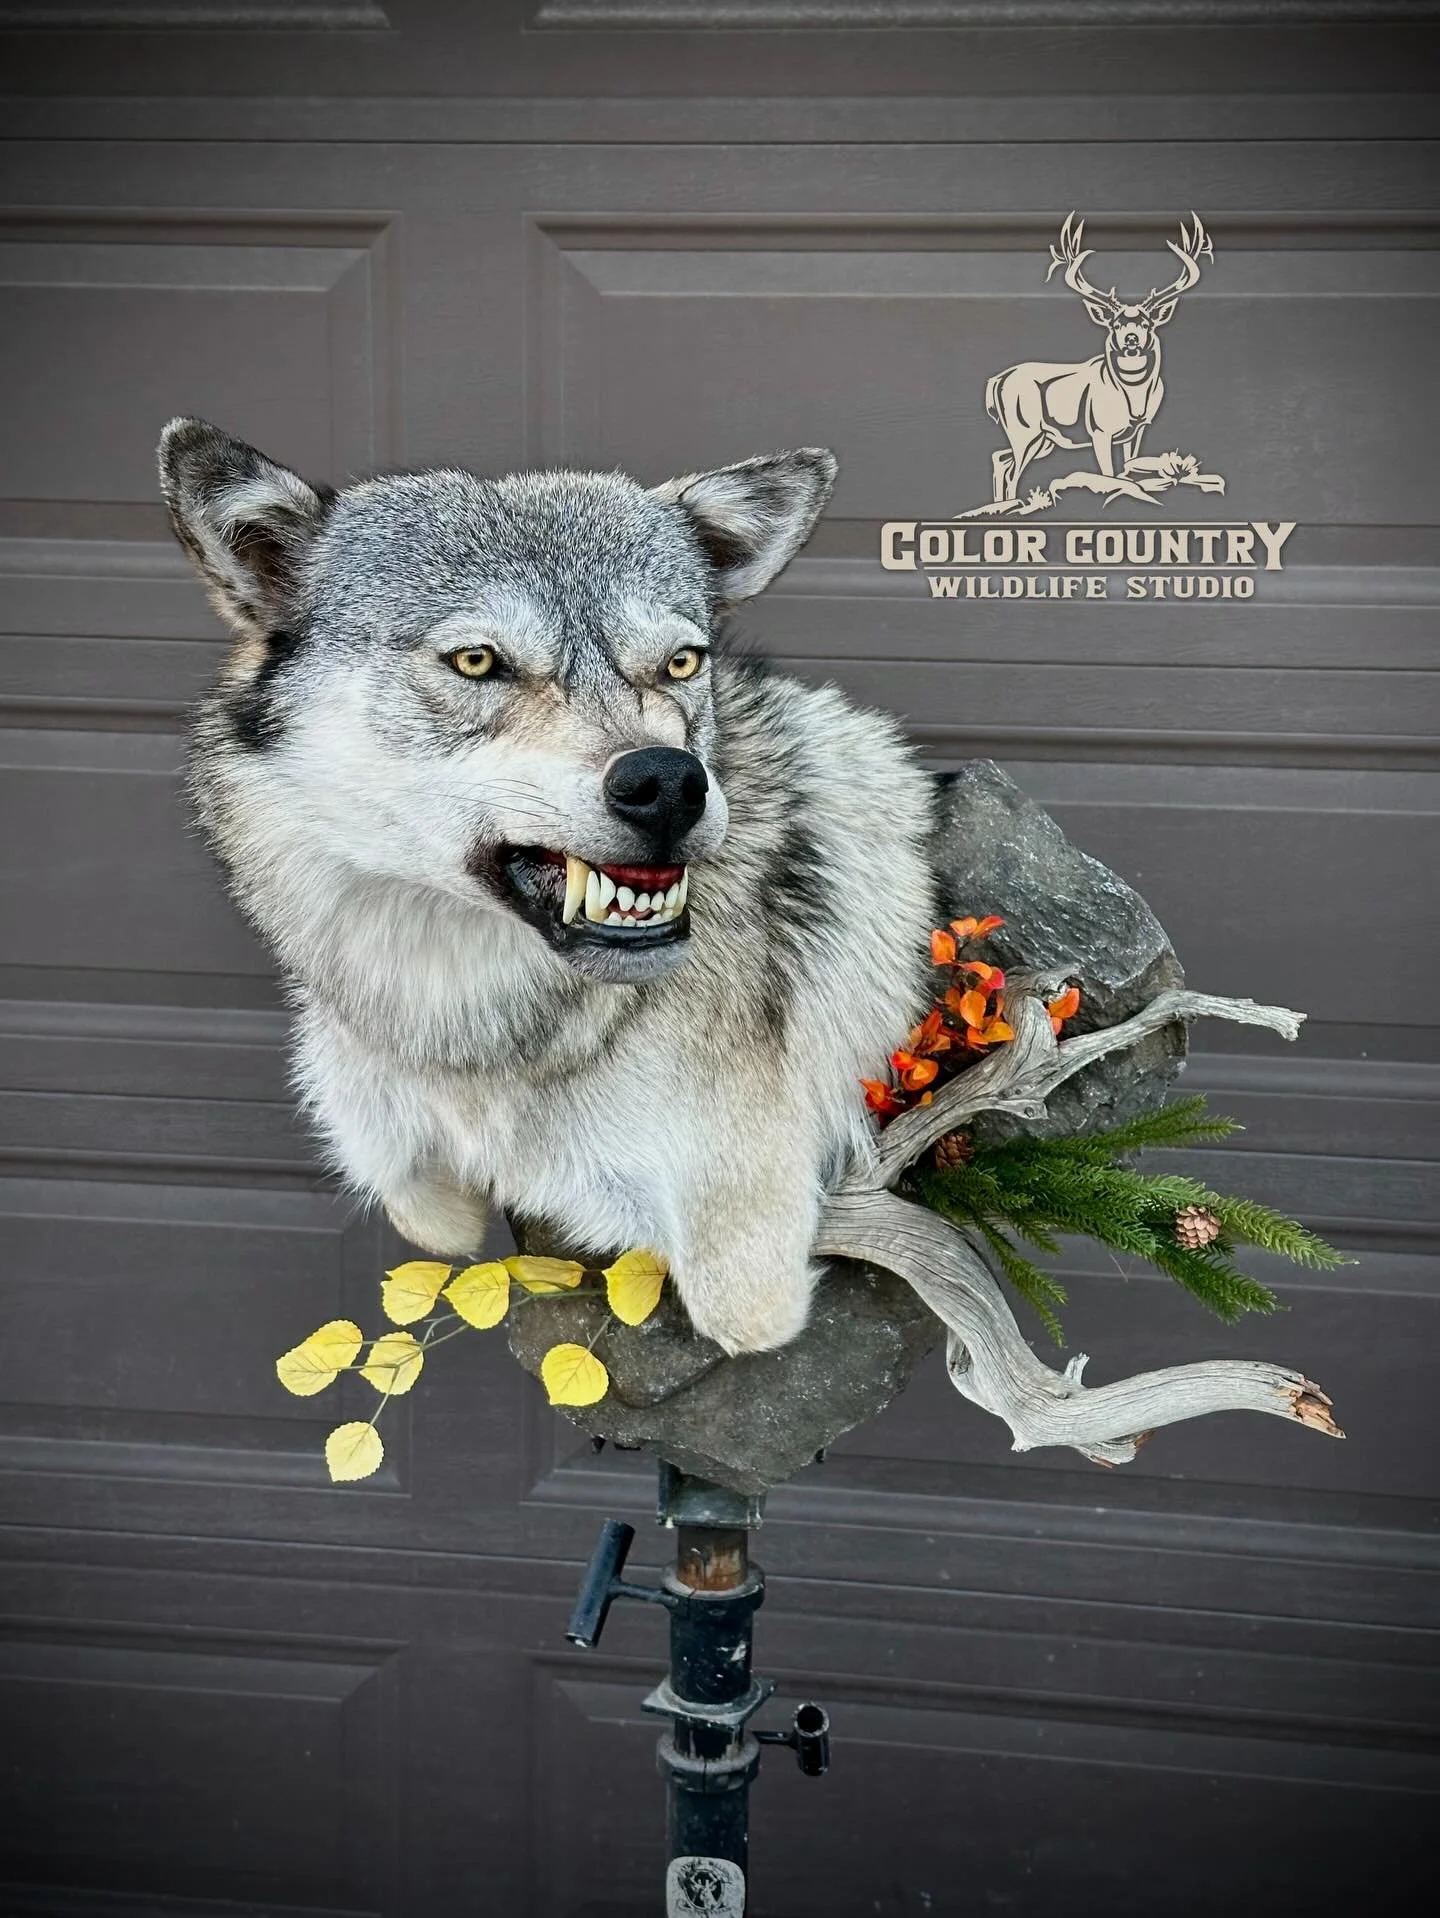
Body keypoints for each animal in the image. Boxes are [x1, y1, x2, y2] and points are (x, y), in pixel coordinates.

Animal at [160, 420, 936, 1354]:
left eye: (681, 662)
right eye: (477, 660)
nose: (669, 783)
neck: (476, 1039)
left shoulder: (750, 1276)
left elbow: (732, 1314)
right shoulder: (403, 1165)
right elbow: (423, 1205)